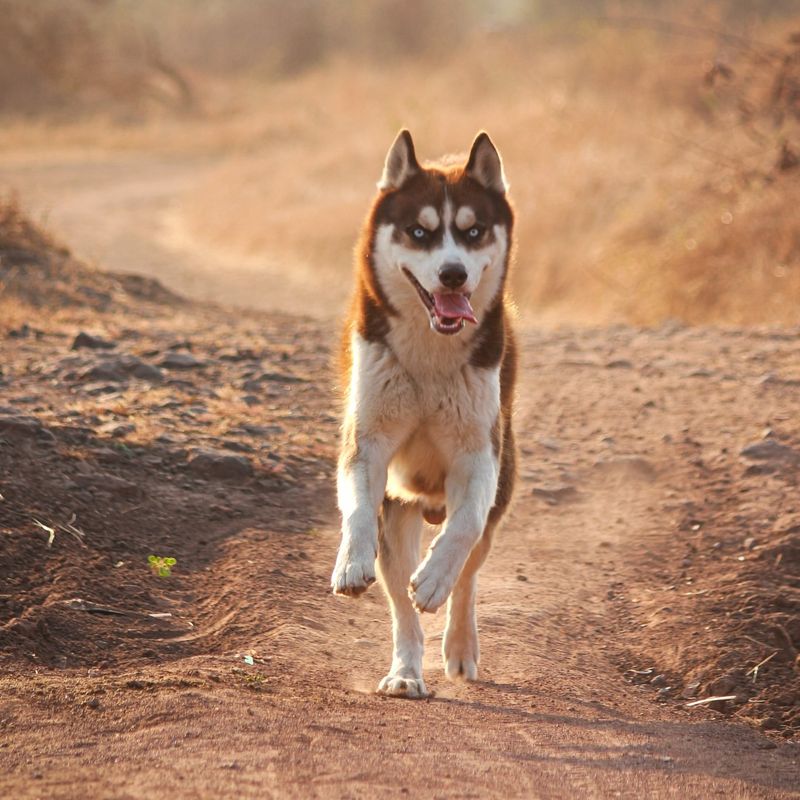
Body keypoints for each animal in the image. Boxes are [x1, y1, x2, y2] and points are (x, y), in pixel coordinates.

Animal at [332, 128, 520, 696]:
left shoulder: (479, 456)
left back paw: (457, 645)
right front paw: (350, 560)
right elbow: (356, 507)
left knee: (469, 572)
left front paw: (435, 578)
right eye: (420, 232)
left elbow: (464, 529)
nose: (453, 274)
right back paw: (405, 673)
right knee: (401, 607)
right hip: (398, 514)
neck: (429, 360)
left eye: (473, 232)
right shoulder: (367, 441)